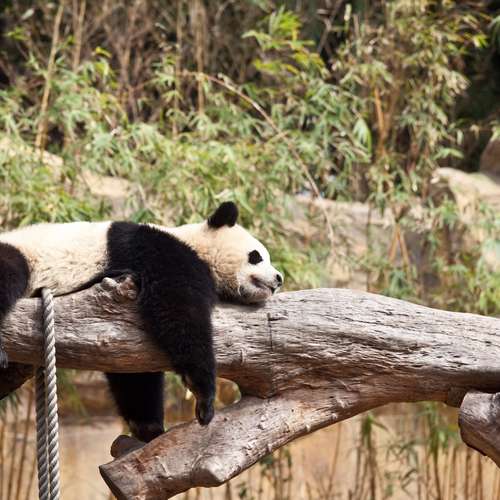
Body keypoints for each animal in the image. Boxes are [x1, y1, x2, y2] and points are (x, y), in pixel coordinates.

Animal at [0, 202, 283, 442]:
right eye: (256, 256)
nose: (279, 278)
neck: (194, 242)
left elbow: (133, 370)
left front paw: (147, 426)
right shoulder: (159, 250)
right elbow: (178, 307)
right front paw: (203, 394)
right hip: (23, 254)